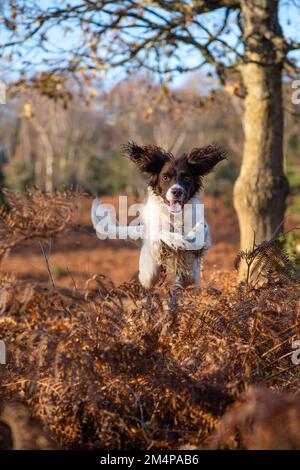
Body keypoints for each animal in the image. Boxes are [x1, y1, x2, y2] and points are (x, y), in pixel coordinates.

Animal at [91, 142, 225, 290]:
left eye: (186, 178)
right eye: (165, 177)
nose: (176, 191)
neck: (175, 215)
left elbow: (202, 227)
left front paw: (192, 238)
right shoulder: (156, 235)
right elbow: (160, 231)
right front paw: (177, 240)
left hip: (193, 280)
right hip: (148, 273)